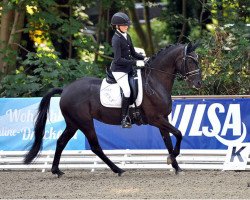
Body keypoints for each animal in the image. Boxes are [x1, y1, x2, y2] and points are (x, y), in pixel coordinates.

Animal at [24, 43, 202, 177]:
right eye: (190, 61)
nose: (198, 84)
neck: (154, 82)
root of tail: (65, 89)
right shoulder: (156, 119)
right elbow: (179, 134)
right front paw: (171, 160)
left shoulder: (163, 119)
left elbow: (169, 142)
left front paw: (176, 166)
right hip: (85, 122)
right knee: (95, 147)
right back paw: (118, 169)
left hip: (73, 123)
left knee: (61, 142)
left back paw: (57, 170)